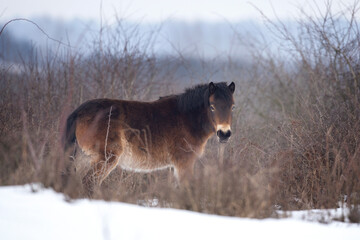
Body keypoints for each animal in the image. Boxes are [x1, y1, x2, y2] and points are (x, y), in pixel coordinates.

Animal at [63, 81, 235, 192]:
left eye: (232, 106)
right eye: (212, 106)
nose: (224, 134)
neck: (187, 118)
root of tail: (78, 112)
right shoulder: (184, 162)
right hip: (105, 159)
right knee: (88, 184)